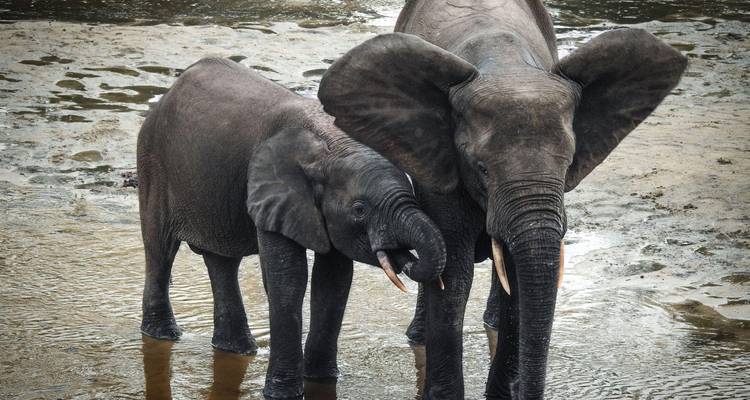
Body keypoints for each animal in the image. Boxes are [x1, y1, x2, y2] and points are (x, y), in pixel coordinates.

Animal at [137, 57, 447, 399]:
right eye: (359, 210)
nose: (402, 255)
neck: (331, 146)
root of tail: (169, 92)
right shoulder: (271, 190)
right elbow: (289, 277)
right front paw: (284, 392)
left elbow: (334, 280)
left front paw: (323, 379)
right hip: (152, 160)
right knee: (160, 249)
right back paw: (164, 335)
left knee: (222, 262)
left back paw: (236, 349)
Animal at [317, 0, 687, 398]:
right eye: (481, 168)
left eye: (569, 165)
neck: (506, 66)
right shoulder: (445, 163)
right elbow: (454, 276)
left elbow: (517, 279)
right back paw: (417, 337)